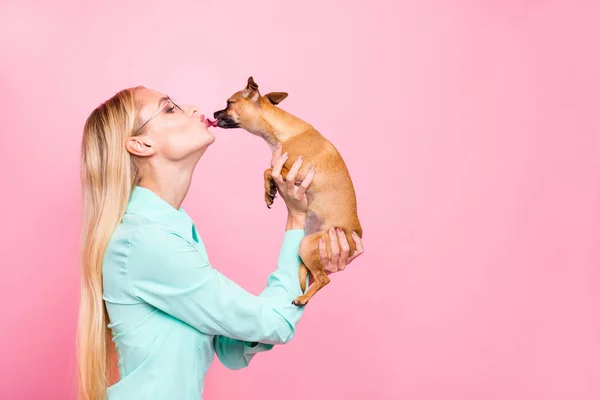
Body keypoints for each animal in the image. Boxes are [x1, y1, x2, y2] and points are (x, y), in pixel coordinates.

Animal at [211, 76, 360, 304]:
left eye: (229, 103)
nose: (214, 113)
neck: (280, 134)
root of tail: (356, 233)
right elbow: (269, 170)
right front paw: (269, 191)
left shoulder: (297, 171)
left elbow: (267, 169)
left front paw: (268, 192)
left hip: (307, 244)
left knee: (323, 279)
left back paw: (303, 299)